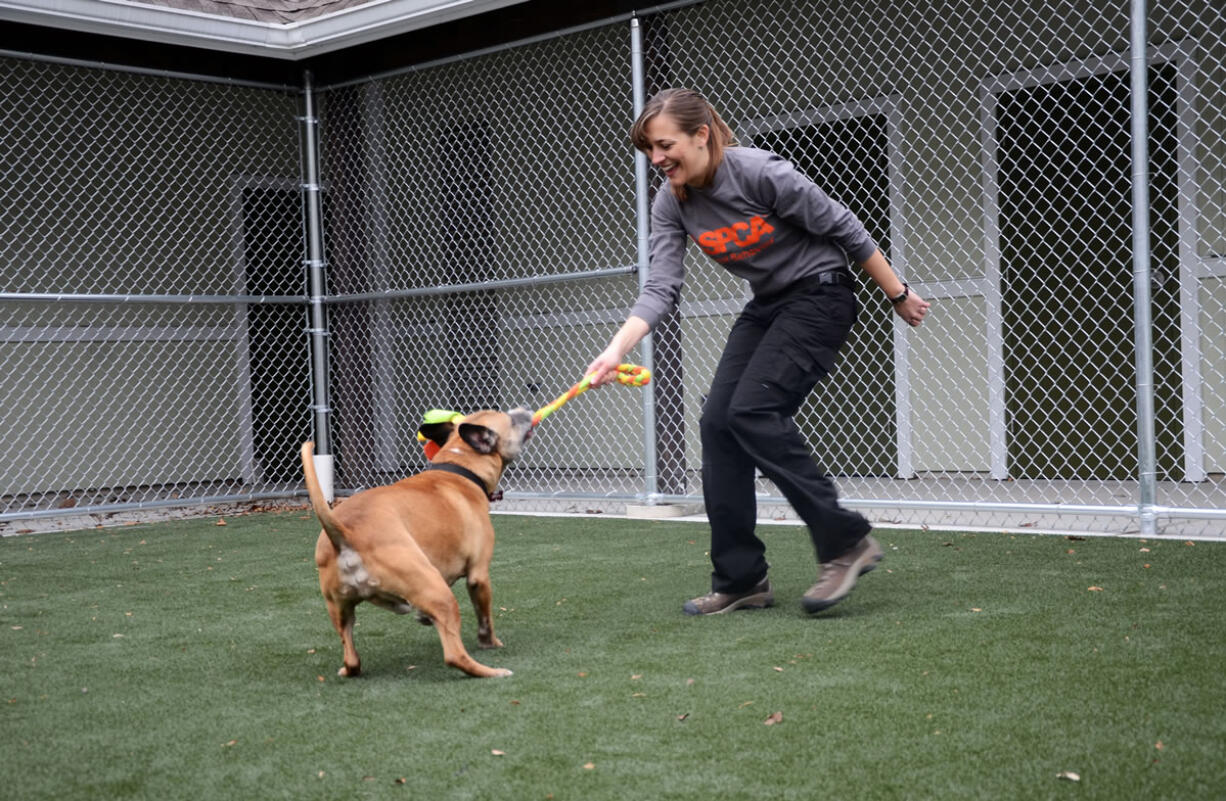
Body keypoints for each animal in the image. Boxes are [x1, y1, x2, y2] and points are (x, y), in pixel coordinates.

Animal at [300, 409, 532, 677]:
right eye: (510, 419)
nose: (525, 410)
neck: (460, 465)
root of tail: (344, 532)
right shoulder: (479, 576)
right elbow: (485, 618)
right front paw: (490, 642)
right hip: (438, 593)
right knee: (454, 655)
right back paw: (492, 672)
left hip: (340, 609)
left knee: (352, 658)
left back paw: (348, 669)